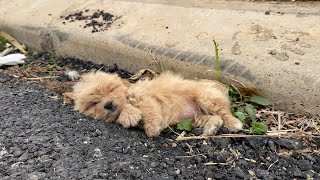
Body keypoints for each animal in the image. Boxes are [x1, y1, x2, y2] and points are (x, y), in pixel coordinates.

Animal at [63, 71, 241, 137]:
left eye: (112, 89)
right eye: (94, 102)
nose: (109, 104)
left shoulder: (144, 97)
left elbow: (145, 110)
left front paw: (151, 127)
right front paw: (129, 115)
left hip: (205, 98)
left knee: (224, 113)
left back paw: (234, 124)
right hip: (196, 117)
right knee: (215, 118)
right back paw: (212, 127)